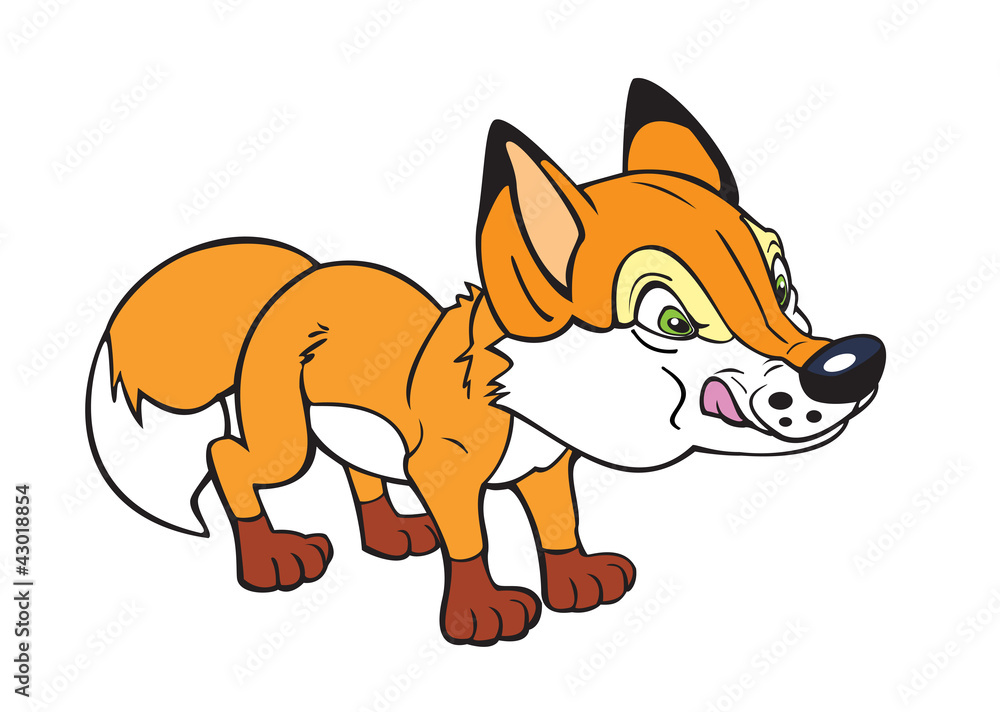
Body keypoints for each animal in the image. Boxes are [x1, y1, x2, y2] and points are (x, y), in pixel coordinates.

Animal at [86, 79, 885, 646]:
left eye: (781, 285)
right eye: (671, 321)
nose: (852, 364)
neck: (525, 405)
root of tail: (296, 278)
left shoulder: (547, 465)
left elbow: (558, 523)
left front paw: (577, 582)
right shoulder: (443, 469)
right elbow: (470, 539)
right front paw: (481, 615)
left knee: (355, 470)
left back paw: (391, 535)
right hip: (285, 440)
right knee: (229, 458)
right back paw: (271, 561)